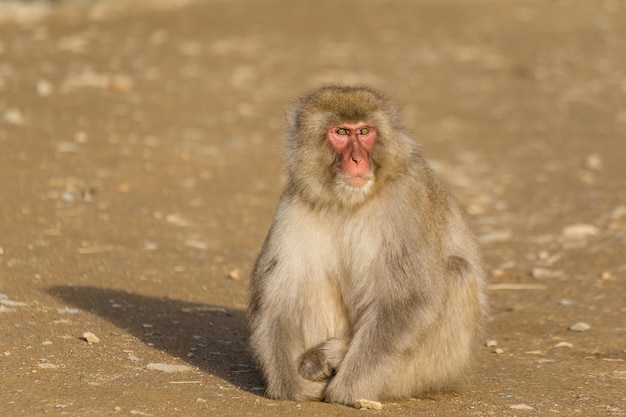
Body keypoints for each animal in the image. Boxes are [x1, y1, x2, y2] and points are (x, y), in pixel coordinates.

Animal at [246, 84, 486, 404]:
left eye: (364, 132)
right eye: (340, 132)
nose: (357, 160)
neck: (349, 202)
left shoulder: (406, 198)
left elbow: (409, 299)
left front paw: (347, 388)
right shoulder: (294, 205)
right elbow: (278, 302)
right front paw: (291, 386)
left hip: (438, 367)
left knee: (458, 271)